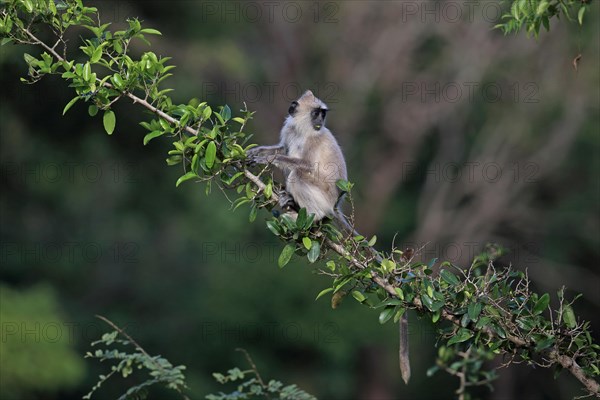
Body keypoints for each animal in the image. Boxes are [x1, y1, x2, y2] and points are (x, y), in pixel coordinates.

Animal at [245, 90, 346, 222]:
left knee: (298, 173)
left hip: (326, 195)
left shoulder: (314, 139)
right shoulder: (289, 129)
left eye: (322, 114)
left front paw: (265, 159)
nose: (320, 121)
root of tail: (336, 204)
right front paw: (254, 152)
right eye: (316, 114)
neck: (302, 132)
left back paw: (312, 216)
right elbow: (283, 149)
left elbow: (308, 165)